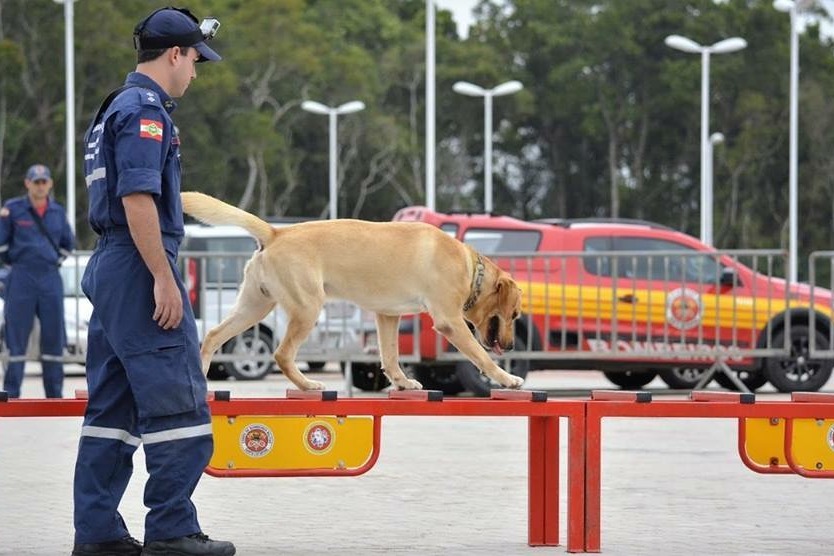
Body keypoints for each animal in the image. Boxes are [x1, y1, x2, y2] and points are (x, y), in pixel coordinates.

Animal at [180, 191, 524, 390]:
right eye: (515, 314)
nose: (509, 347)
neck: (470, 270)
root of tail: (276, 233)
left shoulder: (387, 317)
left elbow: (390, 356)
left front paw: (402, 382)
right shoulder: (449, 322)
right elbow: (481, 357)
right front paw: (506, 378)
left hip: (254, 306)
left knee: (212, 336)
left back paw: (204, 381)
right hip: (307, 308)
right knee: (282, 354)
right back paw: (308, 385)